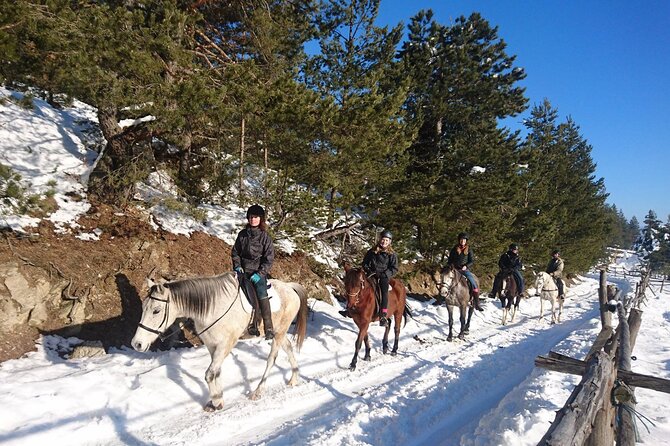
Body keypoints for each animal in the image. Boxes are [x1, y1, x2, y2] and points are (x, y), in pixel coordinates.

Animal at [131, 272, 308, 411]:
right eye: (144, 307)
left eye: (156, 310)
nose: (136, 344)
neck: (212, 307)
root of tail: (289, 287)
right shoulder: (212, 345)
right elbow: (216, 371)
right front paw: (218, 398)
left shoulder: (225, 344)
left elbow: (209, 373)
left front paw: (216, 401)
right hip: (280, 332)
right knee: (289, 348)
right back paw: (294, 379)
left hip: (279, 333)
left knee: (272, 359)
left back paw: (258, 391)